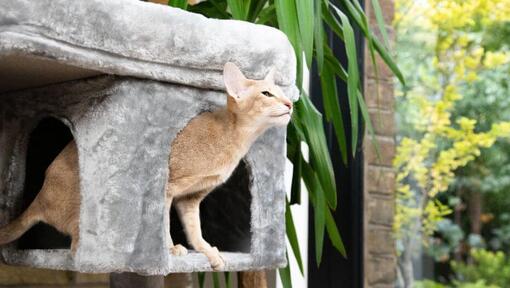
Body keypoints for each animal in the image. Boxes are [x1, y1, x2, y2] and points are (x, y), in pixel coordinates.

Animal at [0, 62, 292, 272]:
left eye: (282, 93)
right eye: (267, 94)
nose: (290, 104)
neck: (233, 137)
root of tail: (40, 196)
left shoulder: (190, 199)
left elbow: (195, 230)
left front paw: (207, 252)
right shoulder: (168, 187)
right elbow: (162, 225)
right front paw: (170, 250)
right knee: (75, 242)